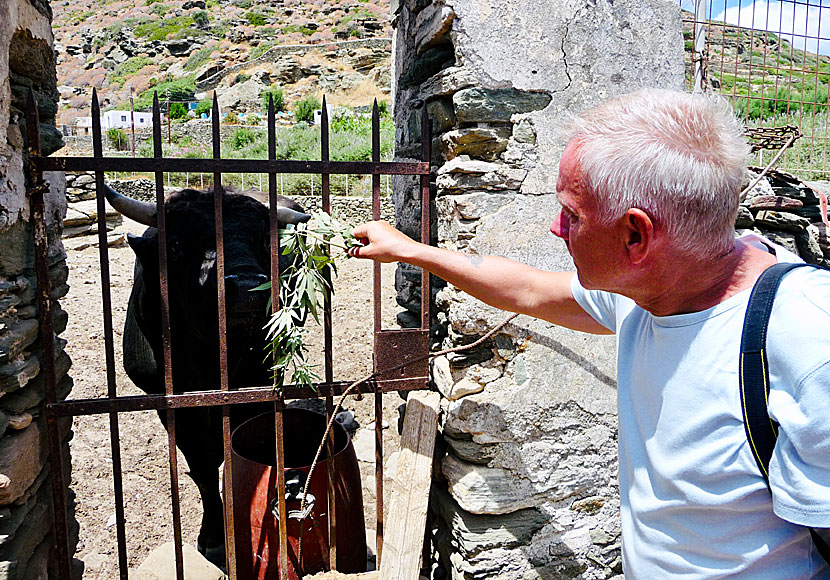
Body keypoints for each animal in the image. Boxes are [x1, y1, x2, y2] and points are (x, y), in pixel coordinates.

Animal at [105, 187, 312, 568]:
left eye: (264, 239)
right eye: (176, 243)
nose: (247, 287)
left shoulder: (254, 388)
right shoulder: (169, 406)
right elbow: (202, 467)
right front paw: (213, 537)